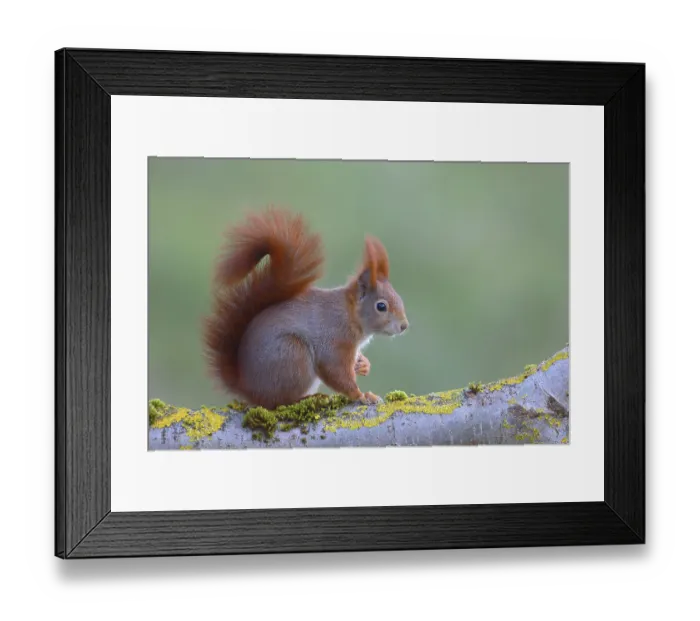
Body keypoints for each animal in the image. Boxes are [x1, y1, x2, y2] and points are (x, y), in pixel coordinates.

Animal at [203, 207, 409, 410]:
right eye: (381, 306)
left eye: (398, 297)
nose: (404, 326)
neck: (349, 314)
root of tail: (246, 387)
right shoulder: (334, 340)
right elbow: (335, 372)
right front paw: (362, 396)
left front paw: (363, 365)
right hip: (293, 355)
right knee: (277, 402)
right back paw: (306, 399)